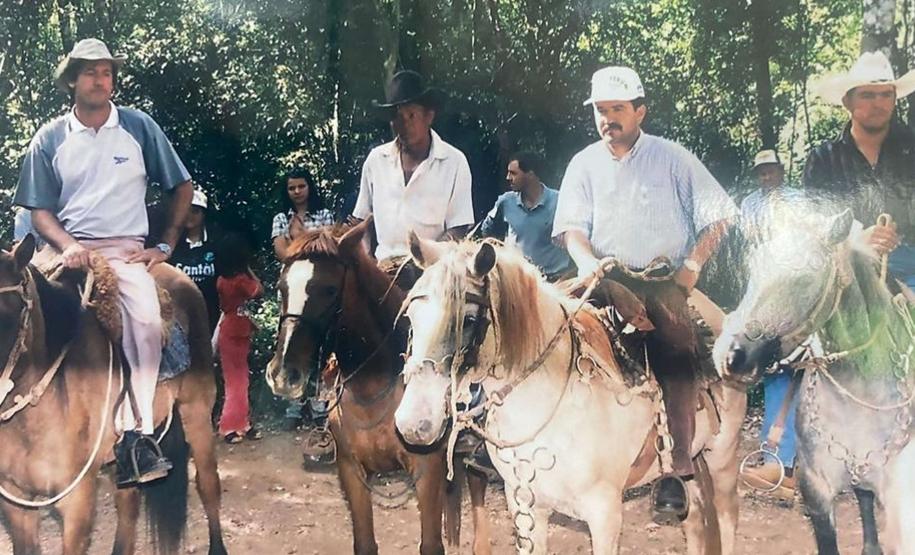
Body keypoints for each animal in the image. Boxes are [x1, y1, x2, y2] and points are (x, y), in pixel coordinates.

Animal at [0, 235, 226, 555]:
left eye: (5, 316)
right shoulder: (15, 504)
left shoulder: (77, 502)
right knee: (128, 503)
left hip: (197, 412)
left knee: (208, 485)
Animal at [265, 219, 491, 555]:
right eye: (282, 288)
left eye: (329, 290)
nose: (283, 374)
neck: (371, 385)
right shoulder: (351, 472)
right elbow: (365, 543)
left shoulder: (427, 471)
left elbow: (431, 544)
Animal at [395, 234, 748, 555]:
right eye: (411, 317)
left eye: (468, 320)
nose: (413, 423)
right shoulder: (525, 507)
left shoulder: (605, 513)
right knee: (695, 520)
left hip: (722, 455)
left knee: (727, 517)